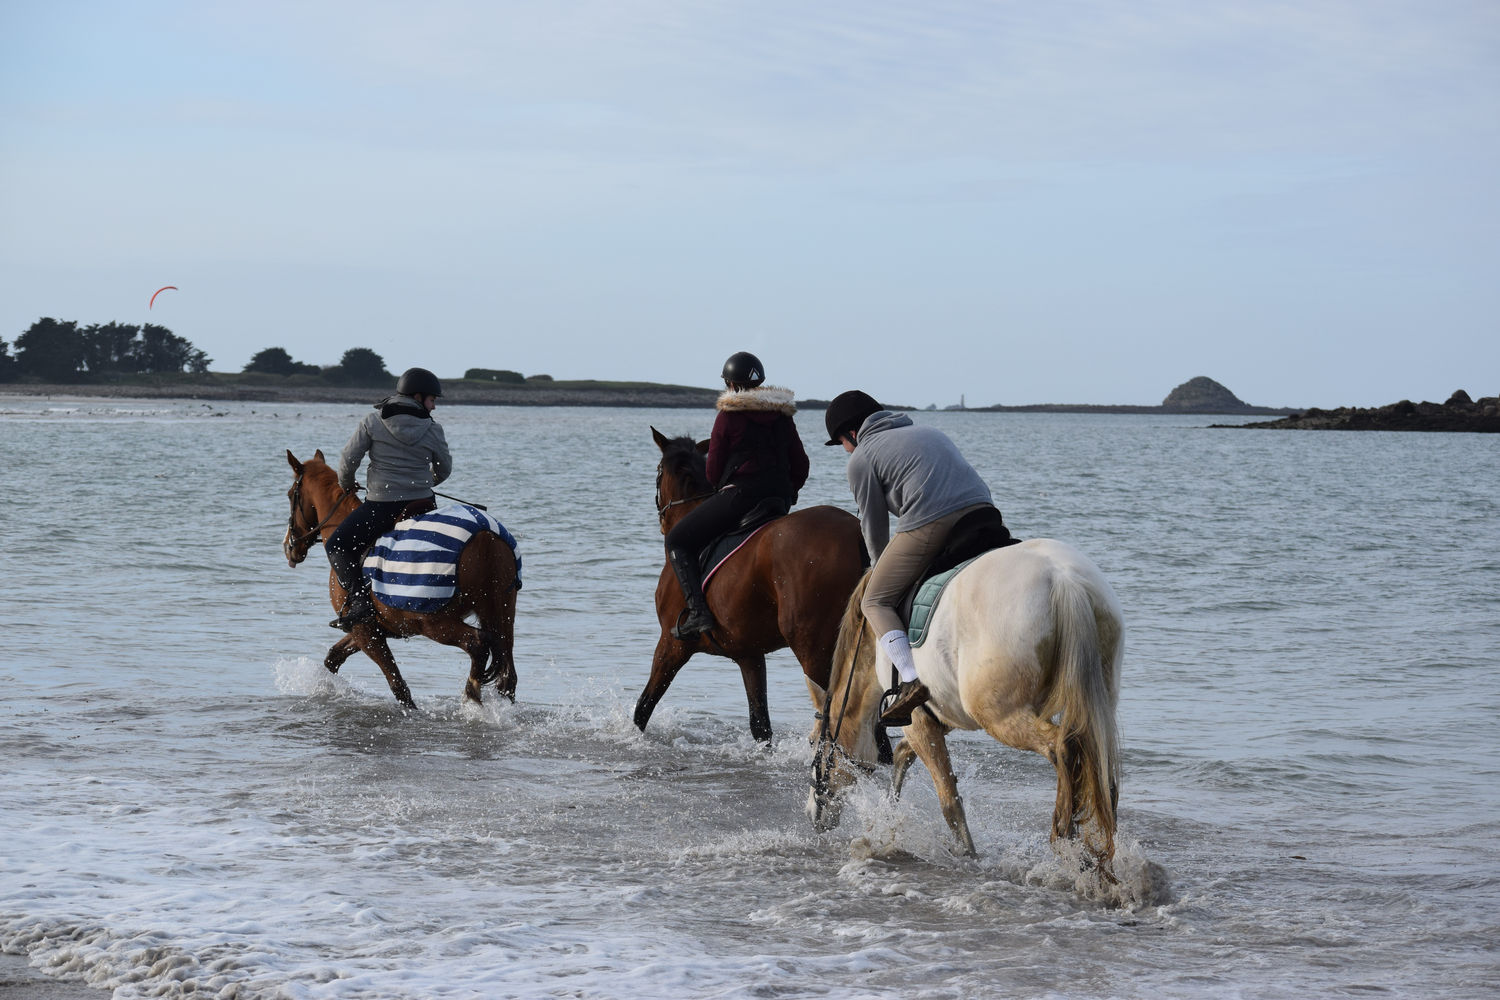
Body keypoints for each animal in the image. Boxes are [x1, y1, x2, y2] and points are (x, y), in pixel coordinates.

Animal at [282, 449, 522, 707]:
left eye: (290, 495)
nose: (289, 547)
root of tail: (484, 534)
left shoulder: (364, 630)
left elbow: (398, 686)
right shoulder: (373, 627)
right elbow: (333, 657)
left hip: (436, 624)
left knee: (477, 644)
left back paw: (471, 696)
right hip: (502, 614)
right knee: (508, 676)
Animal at [642, 428, 876, 743]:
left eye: (658, 473)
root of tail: (855, 532)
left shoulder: (671, 645)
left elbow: (644, 706)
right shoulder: (749, 655)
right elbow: (760, 725)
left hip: (815, 647)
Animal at [810, 539, 1128, 869]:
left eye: (813, 743)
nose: (814, 815)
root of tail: (1064, 581)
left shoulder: (918, 721)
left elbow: (948, 798)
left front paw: (966, 853)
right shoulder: (940, 715)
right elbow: (903, 756)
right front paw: (889, 819)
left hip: (1000, 716)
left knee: (1061, 748)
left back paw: (1064, 836)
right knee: (1098, 769)